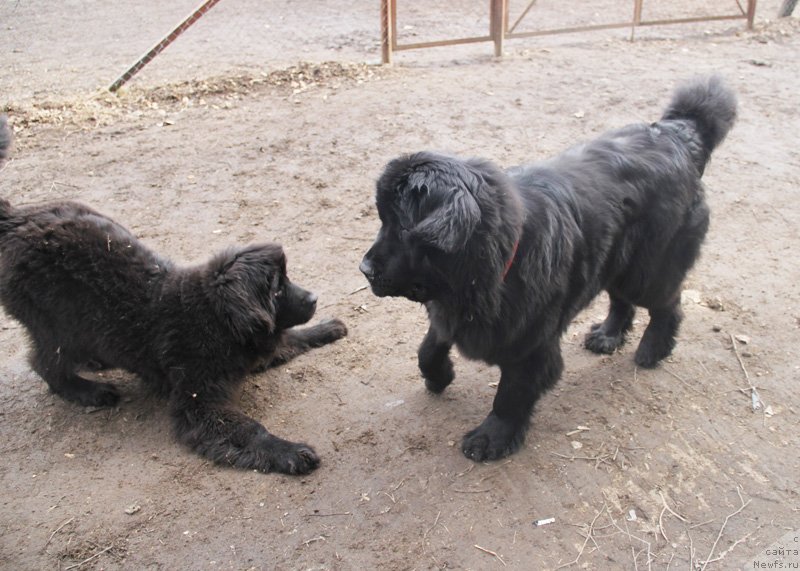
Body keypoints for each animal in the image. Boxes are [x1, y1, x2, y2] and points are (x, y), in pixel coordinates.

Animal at [1, 115, 348, 474]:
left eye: (287, 279)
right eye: (277, 288)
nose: (314, 298)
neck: (214, 319)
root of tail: (14, 217)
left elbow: (291, 338)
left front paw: (328, 327)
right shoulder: (198, 403)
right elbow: (251, 429)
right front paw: (290, 451)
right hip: (54, 323)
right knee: (45, 362)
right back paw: (88, 391)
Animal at [362, 76, 736, 462]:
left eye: (401, 228)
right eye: (382, 221)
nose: (364, 268)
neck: (493, 267)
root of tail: (679, 133)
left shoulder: (531, 344)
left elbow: (510, 394)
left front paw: (491, 438)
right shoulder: (450, 312)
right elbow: (428, 349)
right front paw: (438, 376)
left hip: (647, 269)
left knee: (668, 306)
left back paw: (652, 350)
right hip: (615, 258)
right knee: (621, 301)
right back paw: (607, 335)